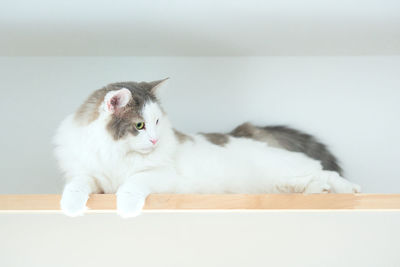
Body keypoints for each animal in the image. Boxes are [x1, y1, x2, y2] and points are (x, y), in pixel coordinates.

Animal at [52, 79, 360, 218]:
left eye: (156, 122)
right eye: (140, 125)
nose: (154, 140)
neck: (116, 154)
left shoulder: (160, 176)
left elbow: (132, 184)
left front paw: (126, 207)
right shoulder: (90, 174)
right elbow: (77, 185)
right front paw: (71, 206)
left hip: (285, 170)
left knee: (327, 172)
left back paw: (349, 189)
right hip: (281, 183)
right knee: (312, 180)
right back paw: (318, 192)